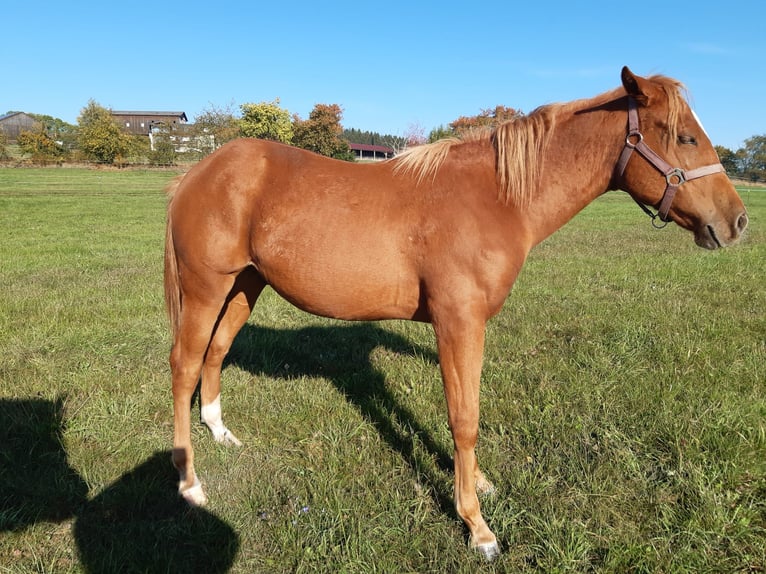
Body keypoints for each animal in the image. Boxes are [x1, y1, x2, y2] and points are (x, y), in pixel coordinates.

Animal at [164, 67, 748, 559]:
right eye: (685, 137)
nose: (737, 222)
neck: (495, 198)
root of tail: (200, 171)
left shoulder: (473, 327)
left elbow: (471, 412)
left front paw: (479, 483)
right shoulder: (457, 323)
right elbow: (463, 418)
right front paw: (477, 524)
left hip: (245, 285)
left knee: (216, 353)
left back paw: (220, 432)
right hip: (206, 288)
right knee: (185, 365)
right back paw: (190, 483)